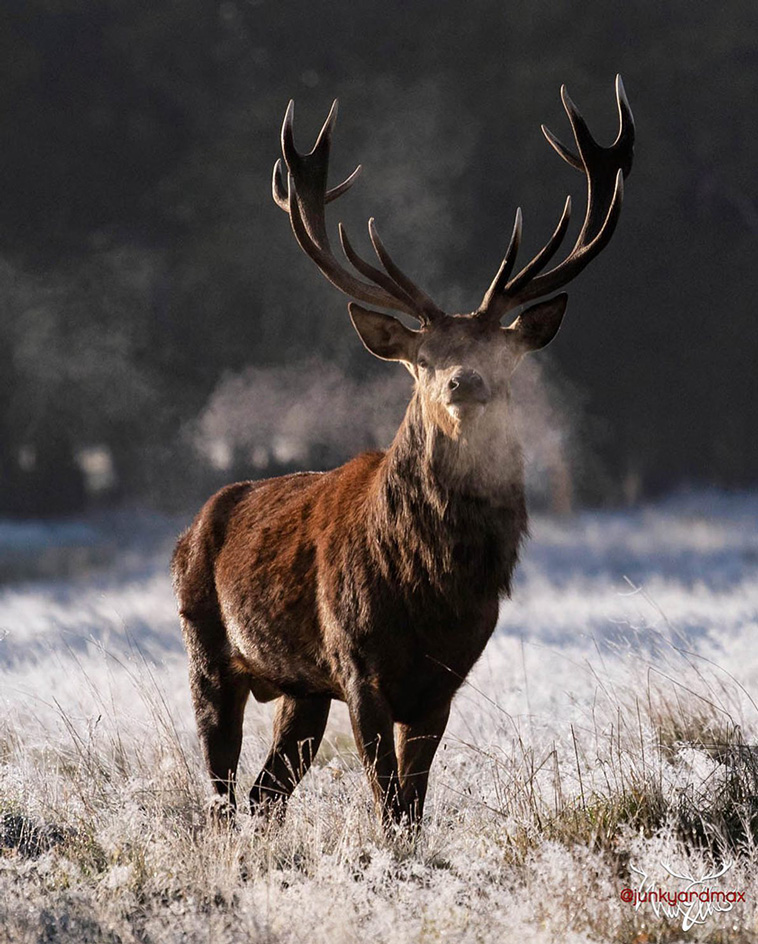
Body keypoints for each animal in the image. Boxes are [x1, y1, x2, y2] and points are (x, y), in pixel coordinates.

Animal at [172, 77, 634, 831]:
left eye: (502, 354)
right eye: (424, 357)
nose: (464, 382)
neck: (428, 585)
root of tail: (194, 525)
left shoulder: (443, 681)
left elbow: (412, 809)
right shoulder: (359, 666)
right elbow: (388, 805)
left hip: (301, 688)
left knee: (265, 797)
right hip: (205, 649)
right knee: (220, 791)